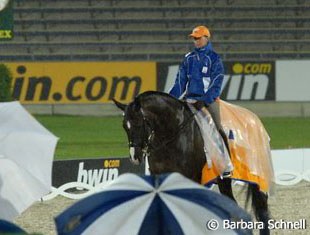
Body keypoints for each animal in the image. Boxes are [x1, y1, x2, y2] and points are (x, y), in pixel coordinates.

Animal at [114, 91, 272, 234]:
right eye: (124, 126)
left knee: (261, 209)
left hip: (254, 176)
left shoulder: (190, 178)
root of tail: (254, 119)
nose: (134, 157)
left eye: (139, 123)